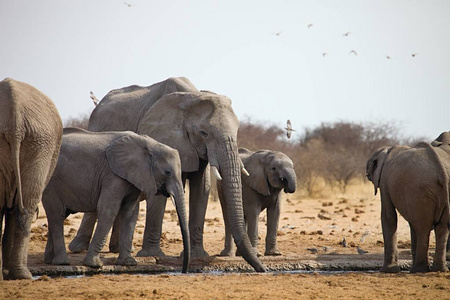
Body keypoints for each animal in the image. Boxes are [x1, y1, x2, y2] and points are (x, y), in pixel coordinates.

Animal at [0, 78, 63, 280]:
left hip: (38, 142)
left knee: (22, 206)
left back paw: (17, 275)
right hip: (40, 142)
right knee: (26, 206)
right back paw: (23, 275)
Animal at [42, 127, 190, 274]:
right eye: (167, 172)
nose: (183, 271)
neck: (151, 144)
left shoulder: (134, 177)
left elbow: (129, 213)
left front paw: (128, 263)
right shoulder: (112, 175)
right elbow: (109, 210)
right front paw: (94, 264)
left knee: (57, 216)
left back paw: (49, 260)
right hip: (51, 182)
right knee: (57, 215)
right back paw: (62, 262)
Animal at [69, 77, 268, 272]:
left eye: (237, 131)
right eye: (203, 133)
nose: (263, 269)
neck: (192, 96)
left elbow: (202, 187)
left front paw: (197, 255)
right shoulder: (161, 136)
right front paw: (152, 254)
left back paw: (116, 249)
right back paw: (78, 248)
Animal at [368, 142, 448, 274]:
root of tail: (442, 172)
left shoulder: (384, 179)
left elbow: (388, 216)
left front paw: (387, 271)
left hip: (419, 191)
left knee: (423, 228)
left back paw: (418, 270)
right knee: (442, 228)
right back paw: (439, 270)